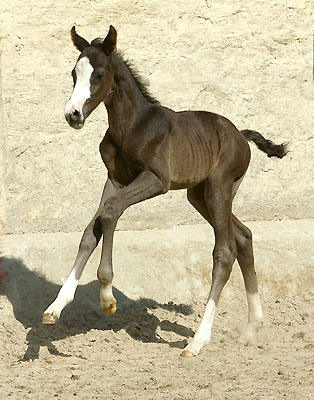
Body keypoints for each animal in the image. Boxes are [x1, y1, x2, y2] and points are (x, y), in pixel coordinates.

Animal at [42, 25, 288, 356]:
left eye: (100, 74)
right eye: (73, 73)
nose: (73, 114)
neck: (132, 126)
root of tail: (240, 134)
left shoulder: (157, 180)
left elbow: (111, 211)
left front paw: (107, 297)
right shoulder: (115, 179)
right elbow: (92, 230)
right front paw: (55, 308)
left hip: (219, 187)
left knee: (225, 252)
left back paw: (197, 341)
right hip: (198, 195)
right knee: (243, 236)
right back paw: (252, 328)